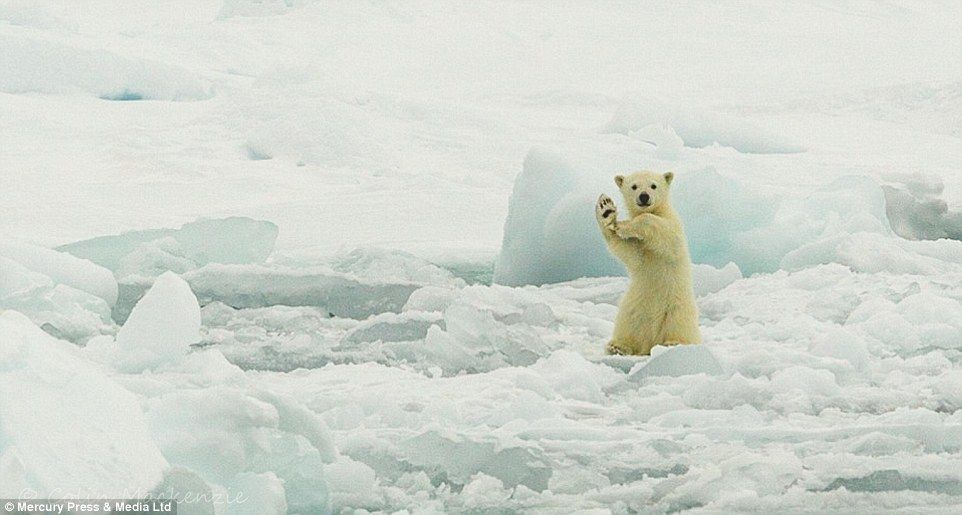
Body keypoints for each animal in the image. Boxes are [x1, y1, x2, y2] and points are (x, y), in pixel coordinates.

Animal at [595, 170, 701, 355]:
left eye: (653, 185)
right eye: (634, 186)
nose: (644, 196)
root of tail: (651, 342)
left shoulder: (673, 228)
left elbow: (661, 230)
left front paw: (624, 225)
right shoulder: (640, 250)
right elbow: (630, 252)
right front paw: (606, 209)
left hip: (677, 307)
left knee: (679, 325)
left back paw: (673, 343)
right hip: (632, 307)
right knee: (627, 325)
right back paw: (618, 346)